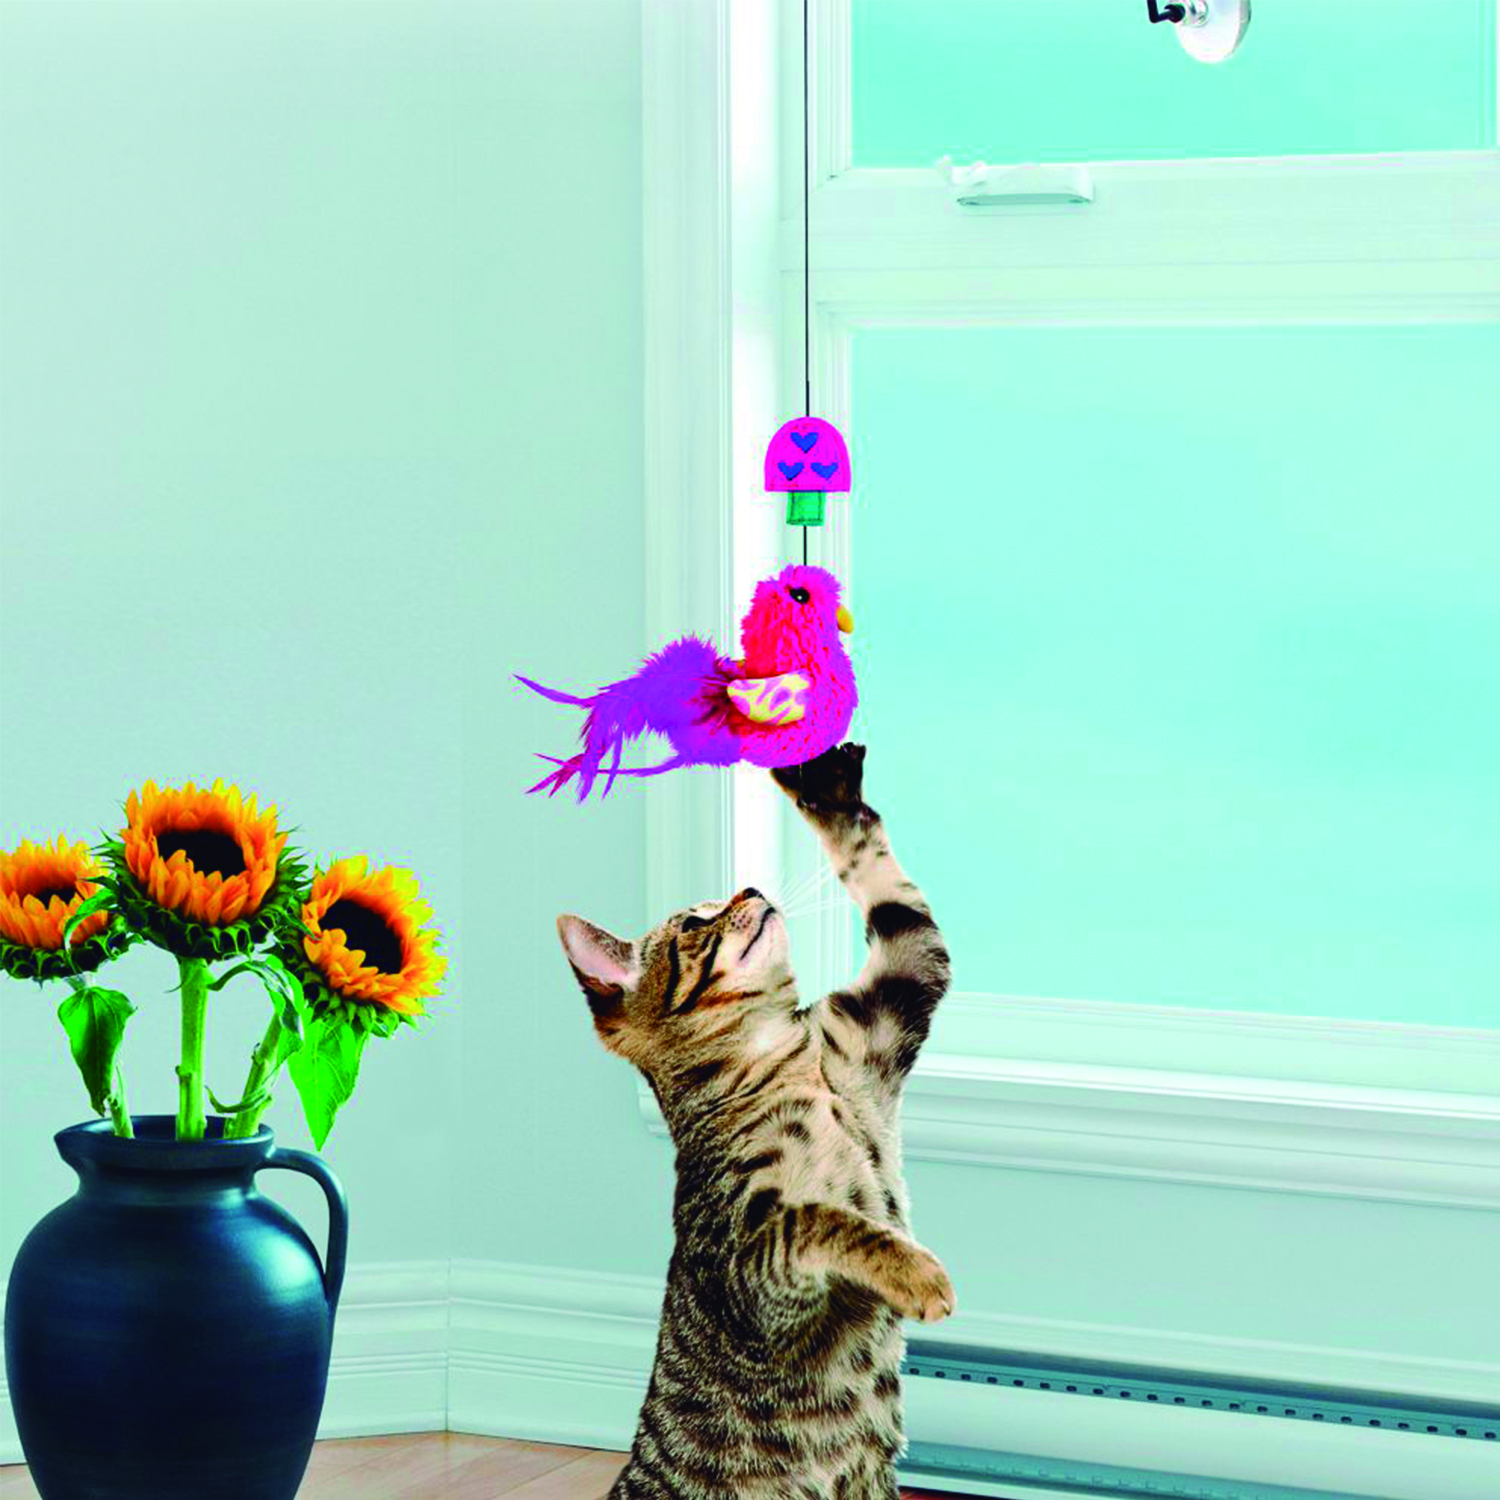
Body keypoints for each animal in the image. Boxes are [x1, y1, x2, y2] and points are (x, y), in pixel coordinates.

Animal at [555, 742, 953, 1500]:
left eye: (723, 900)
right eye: (692, 924)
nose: (746, 891)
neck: (785, 1059)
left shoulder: (892, 1003)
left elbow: (898, 903)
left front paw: (828, 792)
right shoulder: (749, 1268)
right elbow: (823, 1219)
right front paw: (915, 1272)